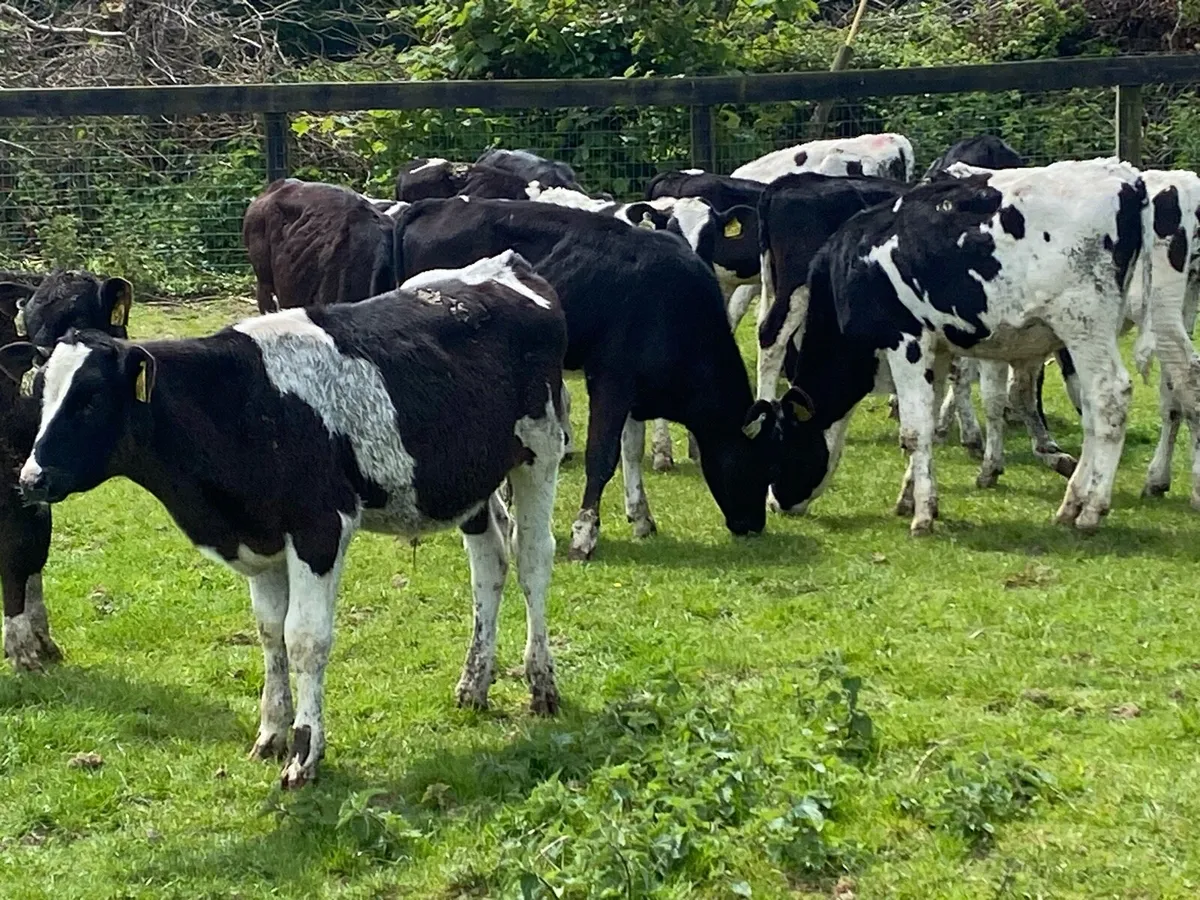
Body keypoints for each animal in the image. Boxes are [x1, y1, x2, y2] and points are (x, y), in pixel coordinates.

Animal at [0, 270, 134, 670]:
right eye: (29, 327)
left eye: (82, 317)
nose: (43, 368)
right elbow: (16, 552)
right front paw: (22, 649)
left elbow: (34, 551)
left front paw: (42, 641)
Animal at [395, 198, 775, 560]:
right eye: (759, 462)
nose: (753, 525)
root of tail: (434, 204)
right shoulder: (611, 379)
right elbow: (602, 456)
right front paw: (584, 534)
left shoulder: (634, 390)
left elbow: (631, 449)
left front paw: (641, 518)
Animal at [759, 158, 1153, 535]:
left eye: (782, 449)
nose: (776, 504)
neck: (854, 264)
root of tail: (1126, 177)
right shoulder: (938, 349)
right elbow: (927, 422)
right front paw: (913, 497)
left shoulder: (905, 341)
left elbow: (914, 431)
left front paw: (922, 516)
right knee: (1091, 410)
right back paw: (1072, 502)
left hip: (1084, 324)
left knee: (1110, 398)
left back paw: (1091, 509)